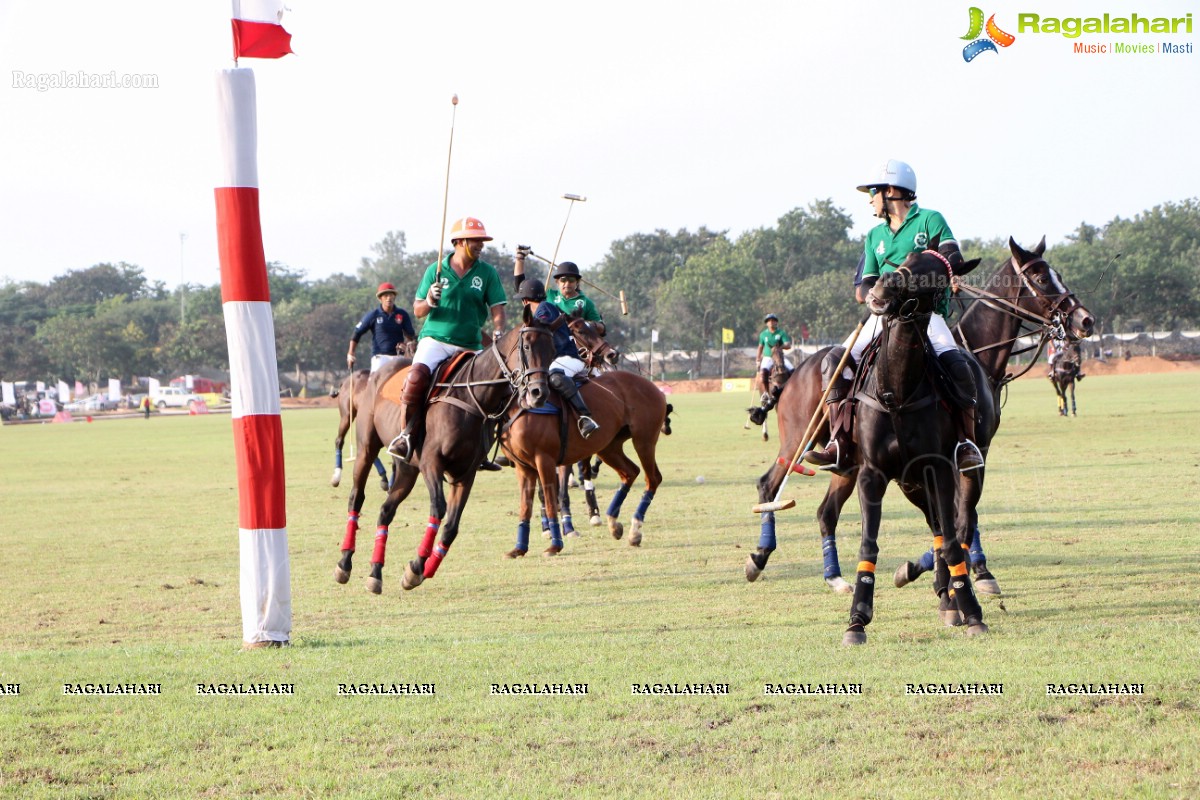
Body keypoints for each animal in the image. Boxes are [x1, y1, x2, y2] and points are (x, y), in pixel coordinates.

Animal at [333, 307, 556, 594]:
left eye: (553, 351)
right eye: (526, 346)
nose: (539, 393)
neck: (473, 397)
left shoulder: (466, 473)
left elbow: (451, 526)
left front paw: (422, 569)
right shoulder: (432, 462)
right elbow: (438, 509)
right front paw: (416, 567)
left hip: (407, 467)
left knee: (386, 509)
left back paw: (375, 572)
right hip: (366, 447)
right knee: (356, 497)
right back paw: (344, 564)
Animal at [499, 371, 676, 556]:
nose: (668, 429)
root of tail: (653, 386)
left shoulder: (545, 459)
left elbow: (553, 497)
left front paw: (558, 541)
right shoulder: (524, 466)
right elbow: (528, 503)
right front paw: (520, 548)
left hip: (643, 440)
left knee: (653, 478)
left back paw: (634, 530)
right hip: (608, 446)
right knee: (631, 472)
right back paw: (614, 523)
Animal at [748, 237, 1099, 599]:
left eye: (1055, 276)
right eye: (1042, 277)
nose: (1084, 320)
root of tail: (792, 375)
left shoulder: (961, 456)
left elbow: (955, 518)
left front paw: (956, 573)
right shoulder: (969, 455)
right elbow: (961, 517)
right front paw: (965, 571)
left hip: (847, 463)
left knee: (825, 511)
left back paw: (835, 577)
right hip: (797, 440)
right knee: (769, 484)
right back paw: (759, 557)